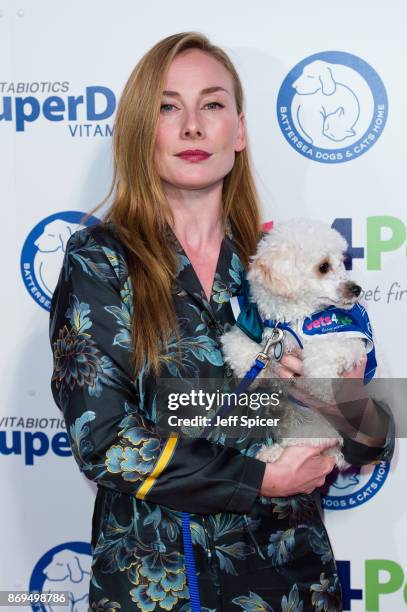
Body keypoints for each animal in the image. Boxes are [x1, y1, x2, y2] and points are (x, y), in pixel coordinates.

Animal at [220, 220, 372, 468]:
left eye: (342, 262)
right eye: (324, 266)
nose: (357, 289)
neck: (287, 322)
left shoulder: (350, 342)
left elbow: (325, 352)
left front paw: (322, 385)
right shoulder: (253, 328)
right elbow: (236, 343)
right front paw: (249, 373)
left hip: (316, 432)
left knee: (296, 445)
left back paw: (271, 454)